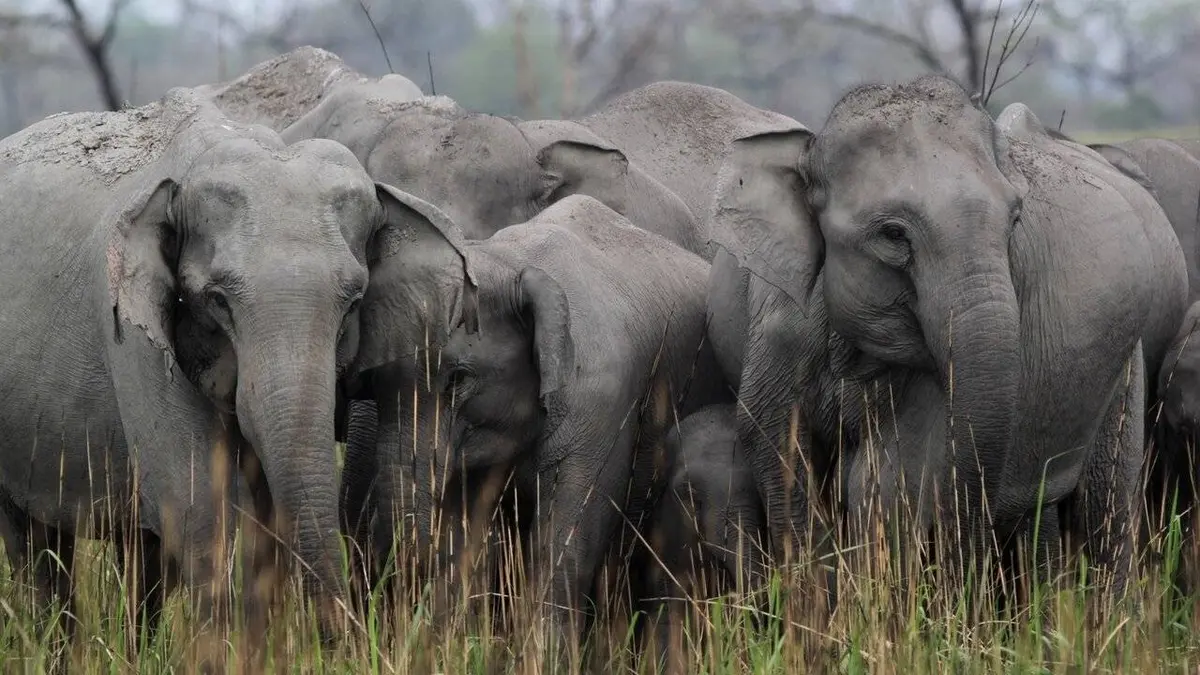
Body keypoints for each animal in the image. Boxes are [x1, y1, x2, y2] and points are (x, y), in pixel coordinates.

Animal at [0, 86, 421, 646]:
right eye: (218, 301)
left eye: (353, 303)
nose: (347, 646)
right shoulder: (131, 339)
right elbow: (201, 511)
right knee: (32, 545)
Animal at [340, 192, 729, 643]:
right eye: (370, 383)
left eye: (458, 379)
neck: (513, 261)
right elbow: (463, 535)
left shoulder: (601, 404)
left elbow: (562, 542)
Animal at [706, 75, 1188, 598]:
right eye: (894, 234)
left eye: (1015, 220)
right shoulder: (779, 326)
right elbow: (779, 449)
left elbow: (892, 477)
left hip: (1128, 361)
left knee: (1106, 504)